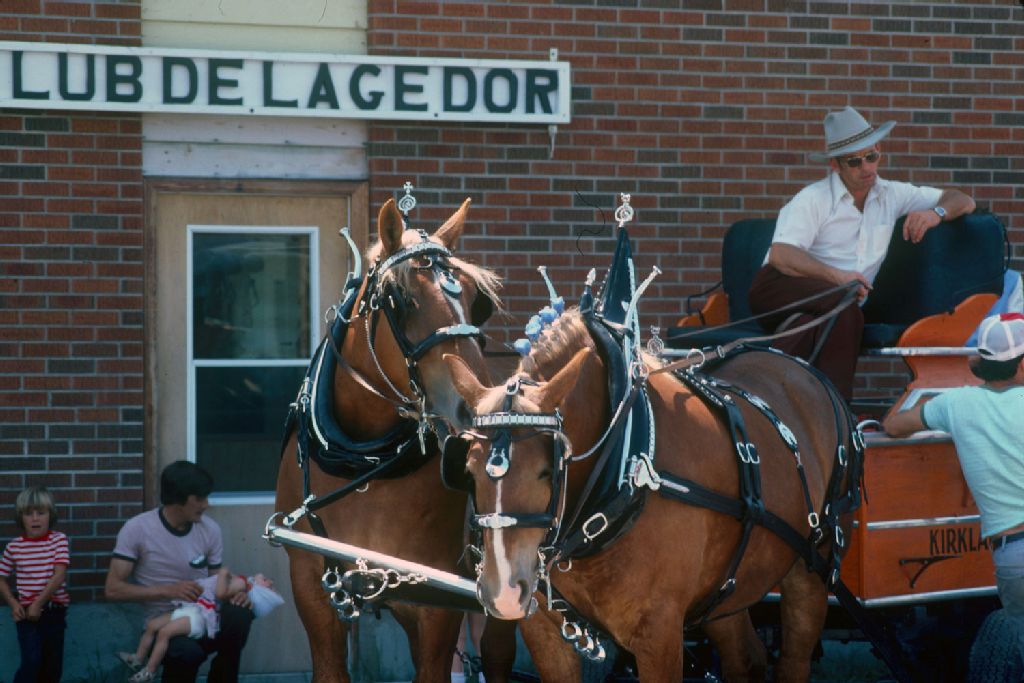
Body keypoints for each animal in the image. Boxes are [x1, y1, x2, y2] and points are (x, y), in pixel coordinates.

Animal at [274, 197, 510, 683]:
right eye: (401, 300)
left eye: (478, 303)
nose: (479, 407)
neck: (364, 465)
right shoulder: (310, 584)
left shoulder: (438, 600)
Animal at [444, 307, 861, 682]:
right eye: (468, 471)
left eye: (546, 470)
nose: (503, 591)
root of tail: (805, 372)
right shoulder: (546, 634)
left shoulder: (658, 634)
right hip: (726, 589)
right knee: (747, 659)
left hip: (811, 569)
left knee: (793, 660)